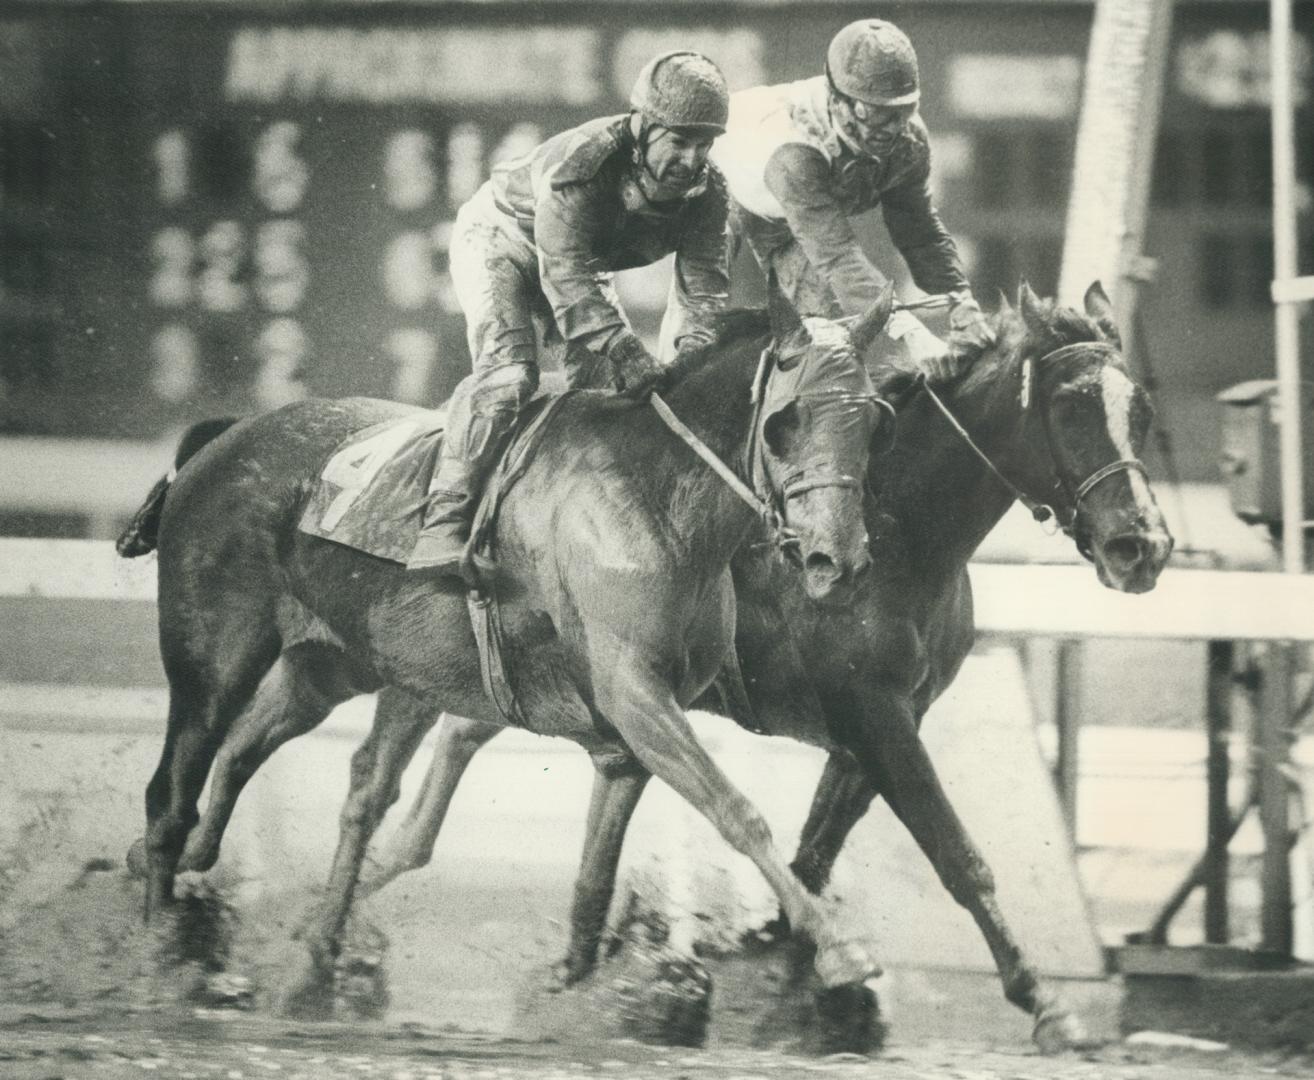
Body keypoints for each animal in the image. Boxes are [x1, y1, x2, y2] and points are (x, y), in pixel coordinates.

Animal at [123, 287, 898, 1014]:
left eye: (873, 421)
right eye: (784, 422)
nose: (838, 561)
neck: (655, 499)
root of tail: (224, 437)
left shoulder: (629, 732)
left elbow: (597, 867)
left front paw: (571, 972)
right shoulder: (635, 694)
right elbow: (736, 811)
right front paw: (841, 951)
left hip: (332, 665)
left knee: (256, 753)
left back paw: (271, 923)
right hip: (212, 656)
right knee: (172, 794)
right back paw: (158, 953)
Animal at [285, 283, 1172, 1051]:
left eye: (1141, 410)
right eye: (1069, 407)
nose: (1143, 546)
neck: (896, 530)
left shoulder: (874, 728)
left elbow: (815, 855)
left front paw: (784, 969)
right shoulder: (873, 713)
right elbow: (958, 857)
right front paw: (1046, 1003)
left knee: (459, 745)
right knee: (399, 764)